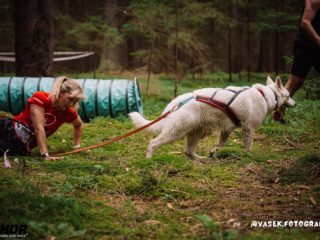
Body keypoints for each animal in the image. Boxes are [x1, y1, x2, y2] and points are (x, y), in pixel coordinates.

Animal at [129, 76, 296, 160]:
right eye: (289, 95)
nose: (295, 103)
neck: (267, 95)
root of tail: (176, 102)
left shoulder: (225, 131)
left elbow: (219, 145)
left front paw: (214, 154)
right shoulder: (249, 129)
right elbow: (248, 147)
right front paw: (248, 156)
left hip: (197, 133)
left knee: (188, 152)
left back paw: (201, 159)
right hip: (176, 131)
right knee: (153, 143)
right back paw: (149, 158)